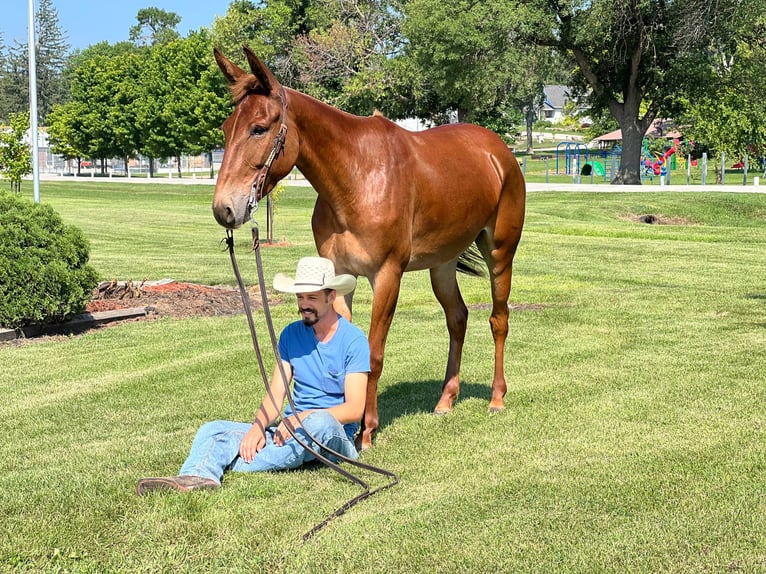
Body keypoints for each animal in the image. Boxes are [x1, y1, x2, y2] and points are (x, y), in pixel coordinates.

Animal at [213, 47, 532, 452]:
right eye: (227, 129)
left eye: (259, 127)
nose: (224, 208)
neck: (356, 176)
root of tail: (499, 152)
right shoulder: (339, 276)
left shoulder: (387, 275)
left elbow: (374, 354)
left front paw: (366, 431)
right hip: (442, 265)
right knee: (457, 318)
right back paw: (445, 400)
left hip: (500, 253)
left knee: (498, 319)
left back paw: (496, 398)